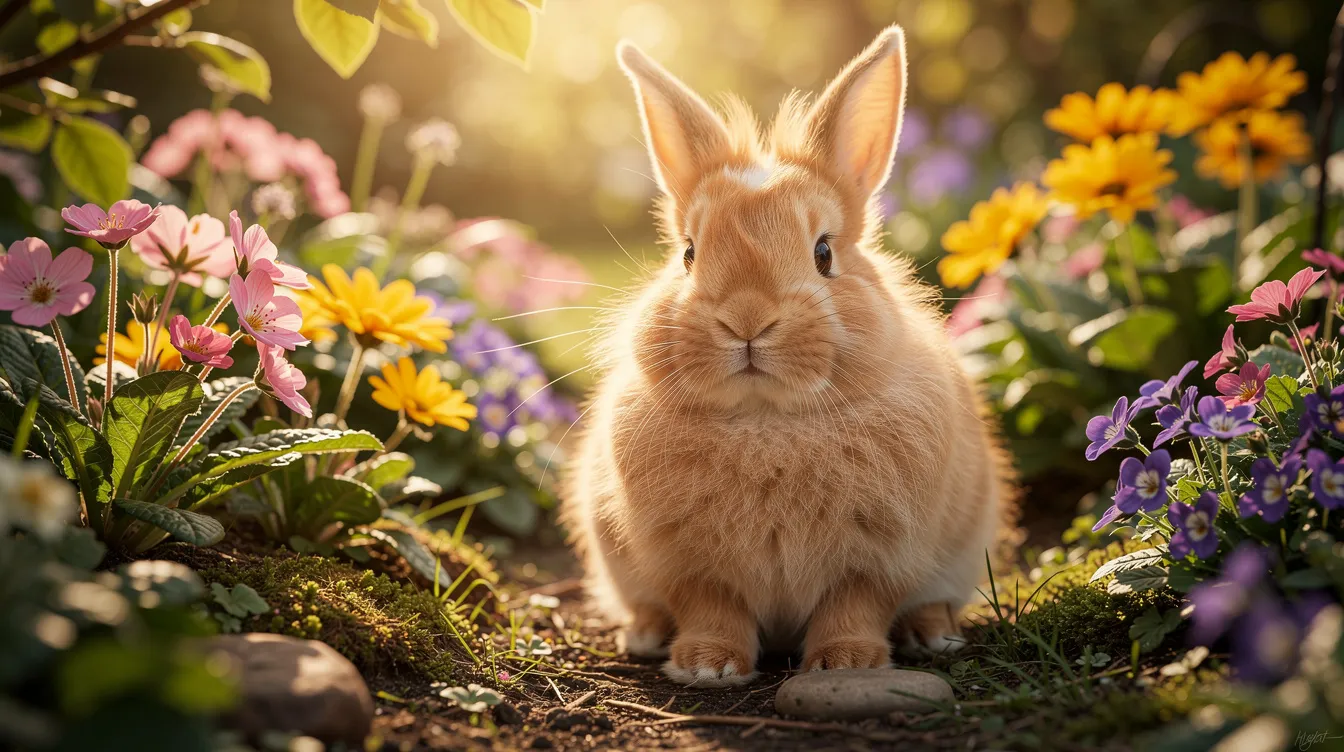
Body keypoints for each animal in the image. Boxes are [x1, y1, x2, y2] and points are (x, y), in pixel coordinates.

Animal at [561, 25, 1016, 687]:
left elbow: (855, 605)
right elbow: (711, 608)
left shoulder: (879, 560)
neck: (767, 420)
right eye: (689, 253)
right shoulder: (690, 566)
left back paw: (932, 633)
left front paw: (847, 663)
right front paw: (708, 665)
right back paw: (644, 634)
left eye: (824, 252)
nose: (747, 319)